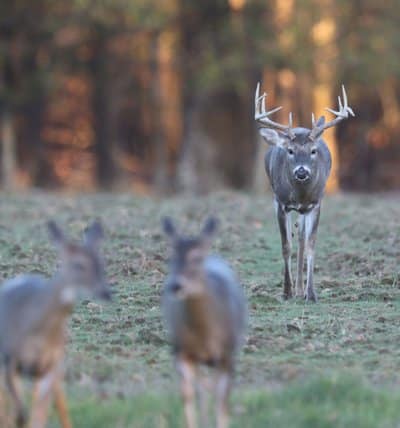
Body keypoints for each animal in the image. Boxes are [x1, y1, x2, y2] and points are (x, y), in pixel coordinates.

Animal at [0, 222, 111, 426]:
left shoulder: (51, 366)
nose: (106, 293)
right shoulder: (9, 361)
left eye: (101, 264)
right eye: (78, 265)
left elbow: (38, 415)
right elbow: (19, 413)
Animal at [161, 217, 245, 428]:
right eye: (171, 257)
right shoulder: (181, 351)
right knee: (201, 391)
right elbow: (188, 395)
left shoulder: (226, 354)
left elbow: (222, 400)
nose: (176, 285)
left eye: (197, 258)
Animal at [255, 83, 354, 300]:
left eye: (313, 150)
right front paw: (286, 291)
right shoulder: (280, 203)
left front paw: (311, 293)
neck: (300, 195)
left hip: (304, 210)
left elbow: (310, 245)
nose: (301, 172)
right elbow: (286, 245)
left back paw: (301, 289)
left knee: (301, 238)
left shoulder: (315, 204)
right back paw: (295, 290)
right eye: (290, 150)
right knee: (295, 239)